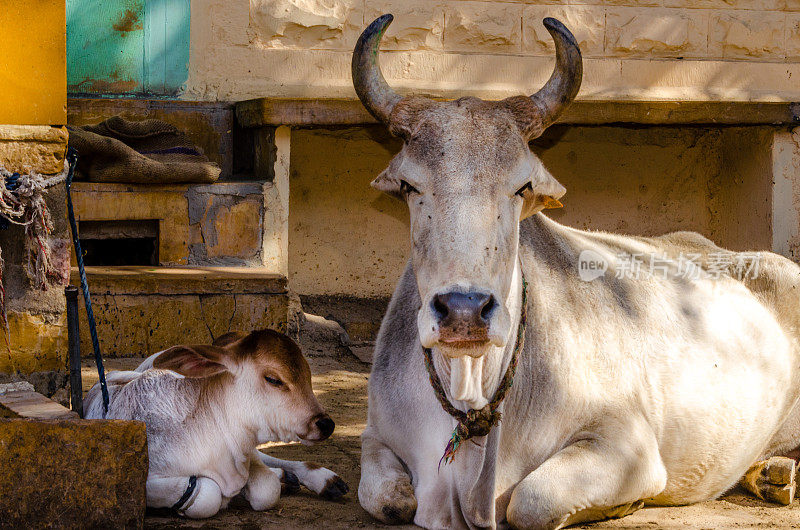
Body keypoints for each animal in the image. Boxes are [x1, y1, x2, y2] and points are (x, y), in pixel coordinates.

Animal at [84, 326, 346, 516]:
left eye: (308, 374)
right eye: (273, 379)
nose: (325, 423)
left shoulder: (243, 452)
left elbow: (266, 488)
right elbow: (207, 494)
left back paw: (321, 479)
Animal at [354, 14, 800, 524]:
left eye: (521, 186)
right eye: (410, 186)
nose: (464, 311)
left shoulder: (626, 444)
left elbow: (531, 501)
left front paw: (626, 503)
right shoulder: (376, 434)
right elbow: (389, 499)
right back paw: (770, 476)